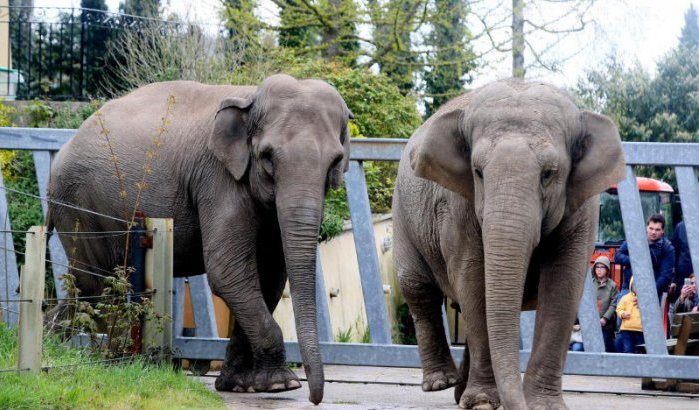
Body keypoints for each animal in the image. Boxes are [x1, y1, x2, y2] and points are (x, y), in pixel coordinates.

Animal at [46, 73, 352, 404]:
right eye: (268, 158)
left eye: (336, 162)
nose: (315, 398)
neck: (250, 97)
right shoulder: (217, 178)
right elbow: (227, 270)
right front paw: (282, 385)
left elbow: (269, 275)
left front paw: (240, 385)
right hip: (79, 204)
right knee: (96, 284)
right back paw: (109, 361)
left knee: (82, 286)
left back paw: (52, 344)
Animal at [394, 80, 628, 410]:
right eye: (478, 172)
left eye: (549, 174)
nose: (519, 404)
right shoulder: (458, 206)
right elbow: (474, 283)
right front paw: (482, 402)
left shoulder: (582, 209)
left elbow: (562, 286)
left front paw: (544, 406)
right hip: (403, 214)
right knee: (418, 288)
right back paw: (442, 383)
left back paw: (459, 393)